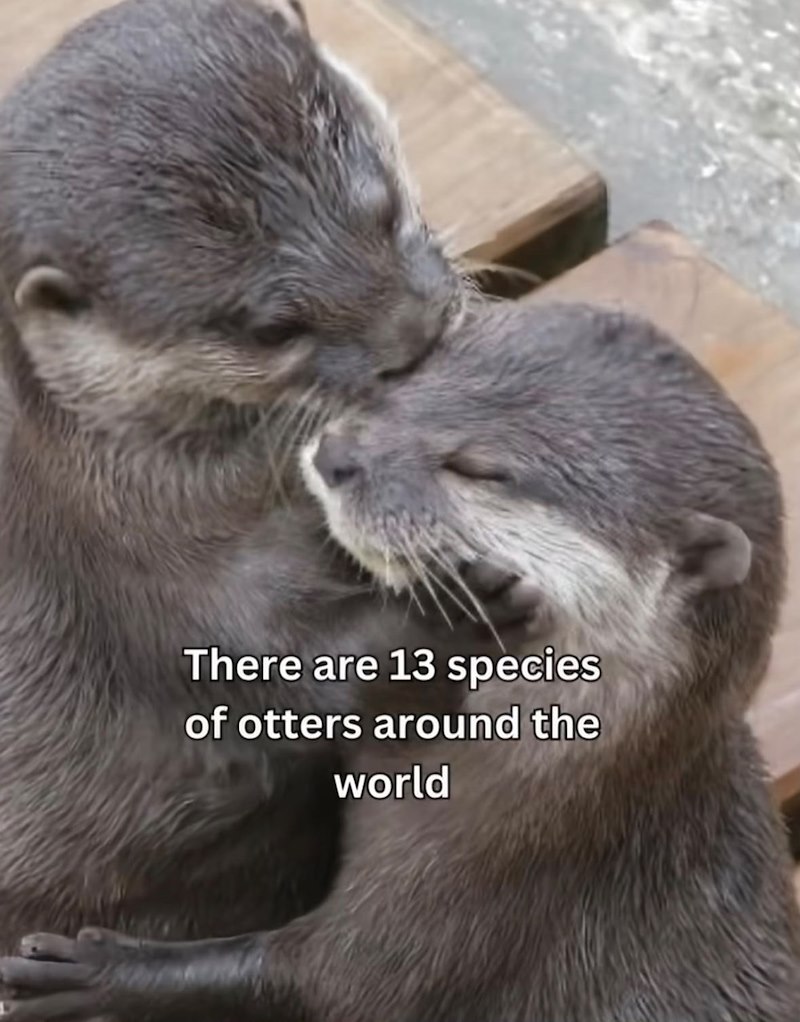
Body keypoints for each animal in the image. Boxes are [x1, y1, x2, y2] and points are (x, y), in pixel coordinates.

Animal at [5, 301, 799, 1021]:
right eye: (421, 371)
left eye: (483, 469)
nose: (337, 454)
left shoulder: (471, 897)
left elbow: (313, 982)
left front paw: (95, 972)